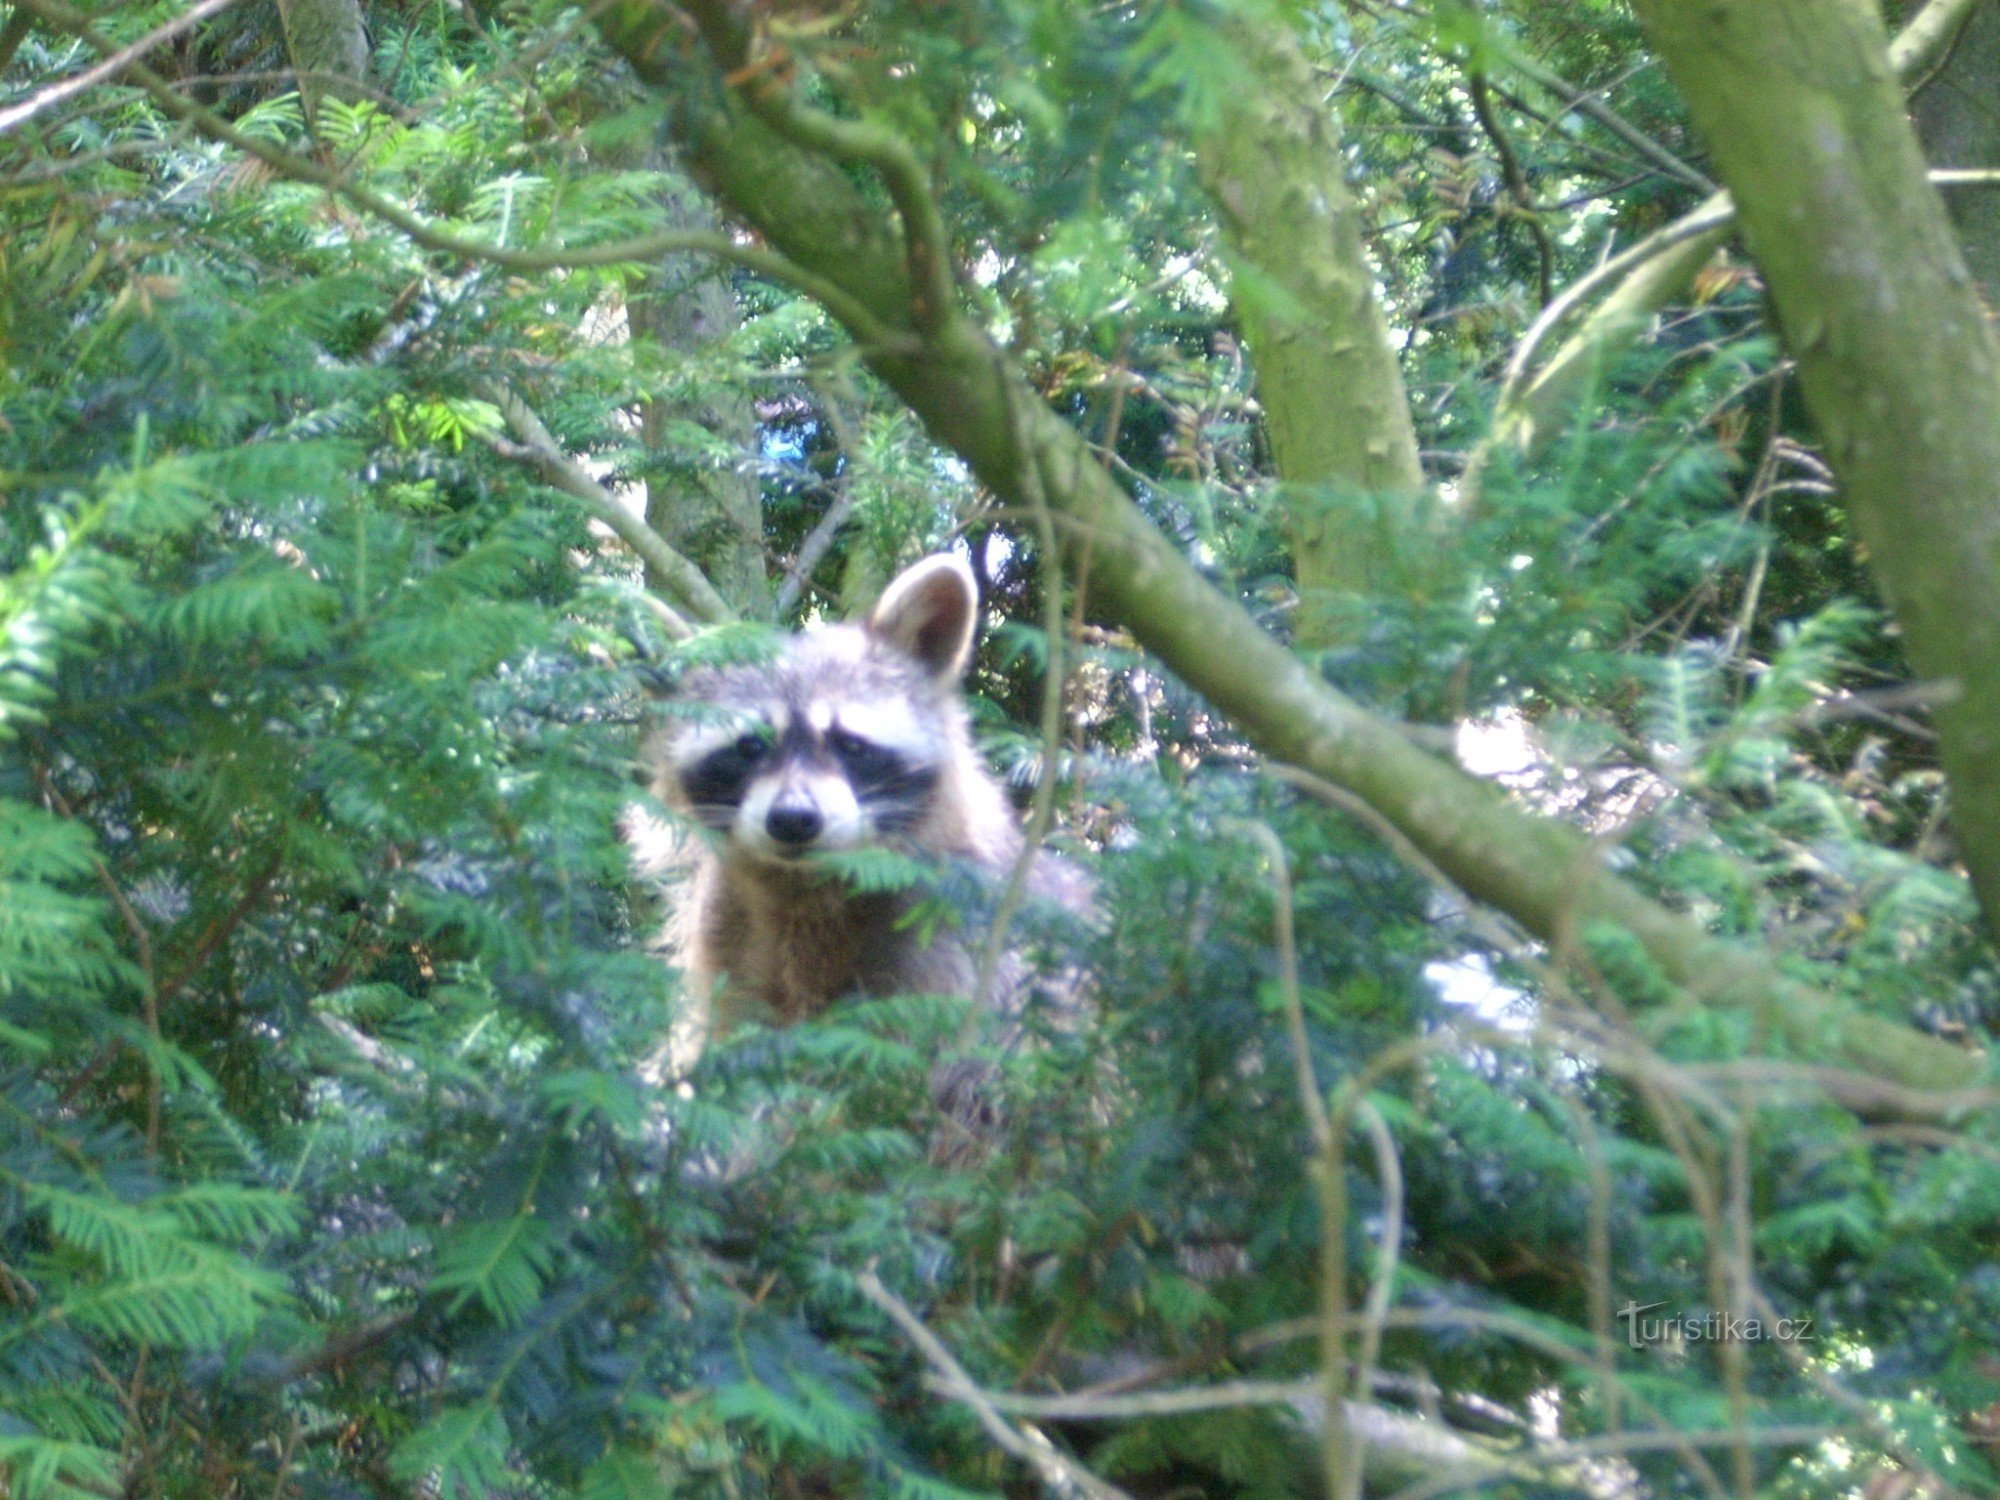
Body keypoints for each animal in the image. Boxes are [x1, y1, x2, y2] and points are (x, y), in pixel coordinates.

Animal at [648, 552, 1080, 1056]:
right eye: (750, 746)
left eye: (850, 744)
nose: (793, 820)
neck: (807, 887)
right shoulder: (731, 941)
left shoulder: (953, 943)